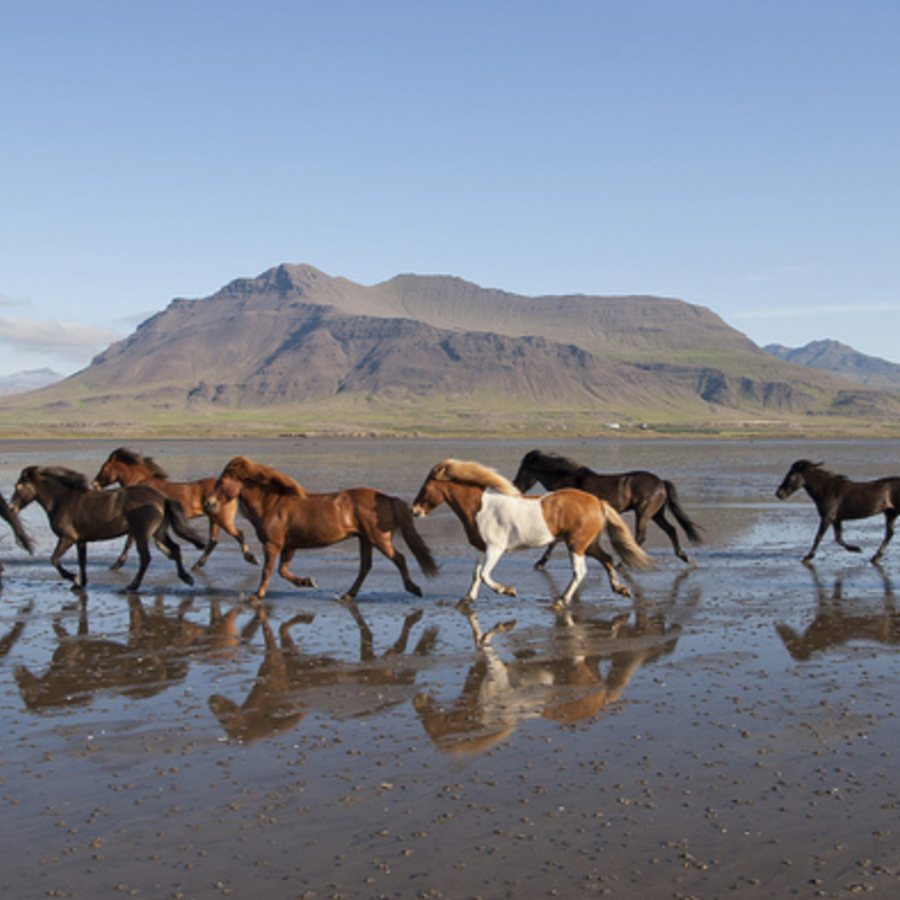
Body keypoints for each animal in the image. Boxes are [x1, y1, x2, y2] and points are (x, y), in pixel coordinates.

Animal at [10, 465, 205, 591]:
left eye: (18, 486)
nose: (11, 508)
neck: (62, 501)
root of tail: (163, 498)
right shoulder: (81, 540)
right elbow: (82, 561)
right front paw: (80, 583)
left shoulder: (67, 538)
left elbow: (54, 560)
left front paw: (73, 578)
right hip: (159, 532)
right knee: (175, 548)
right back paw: (186, 578)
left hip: (142, 534)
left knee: (146, 558)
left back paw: (133, 586)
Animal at [93, 448, 258, 570]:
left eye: (105, 468)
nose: (95, 484)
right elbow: (157, 543)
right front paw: (175, 556)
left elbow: (130, 542)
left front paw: (117, 564)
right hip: (214, 519)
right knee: (213, 541)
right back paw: (197, 565)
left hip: (222, 519)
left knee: (239, 535)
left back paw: (251, 558)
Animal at [204, 456, 439, 602]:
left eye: (222, 481)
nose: (208, 503)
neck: (271, 505)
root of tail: (387, 498)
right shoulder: (289, 546)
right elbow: (282, 571)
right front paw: (307, 582)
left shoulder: (272, 544)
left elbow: (267, 571)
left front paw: (256, 596)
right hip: (365, 539)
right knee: (365, 567)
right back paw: (347, 595)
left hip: (378, 538)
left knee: (398, 558)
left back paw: (414, 589)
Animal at [410, 459, 653, 605]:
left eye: (426, 486)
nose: (414, 510)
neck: (479, 508)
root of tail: (597, 501)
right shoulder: (481, 548)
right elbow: (476, 574)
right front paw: (467, 599)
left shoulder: (496, 548)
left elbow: (485, 575)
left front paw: (508, 591)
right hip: (588, 543)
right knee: (608, 559)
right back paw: (620, 589)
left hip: (576, 544)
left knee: (580, 571)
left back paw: (562, 600)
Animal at [512, 449, 702, 566]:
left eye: (523, 469)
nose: (516, 486)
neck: (569, 481)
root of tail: (661, 482)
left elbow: (555, 541)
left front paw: (540, 562)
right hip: (656, 513)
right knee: (671, 530)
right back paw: (683, 556)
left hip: (644, 512)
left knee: (640, 537)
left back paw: (622, 563)